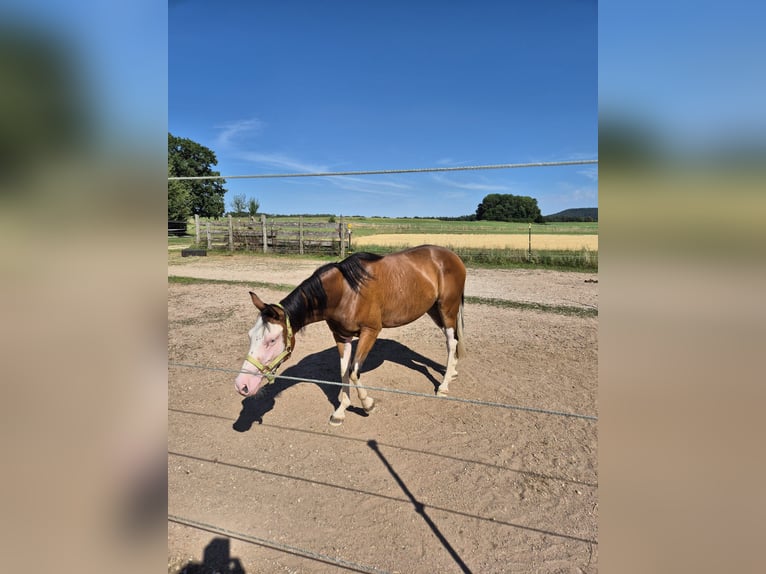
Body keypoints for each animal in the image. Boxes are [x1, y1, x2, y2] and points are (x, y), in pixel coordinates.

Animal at [234, 245, 464, 426]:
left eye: (271, 340)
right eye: (250, 336)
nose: (242, 385)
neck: (346, 292)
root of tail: (451, 256)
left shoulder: (370, 332)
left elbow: (354, 372)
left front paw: (368, 404)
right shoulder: (341, 336)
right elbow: (344, 371)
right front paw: (340, 411)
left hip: (447, 309)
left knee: (452, 341)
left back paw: (443, 386)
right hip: (434, 310)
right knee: (450, 341)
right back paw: (452, 372)